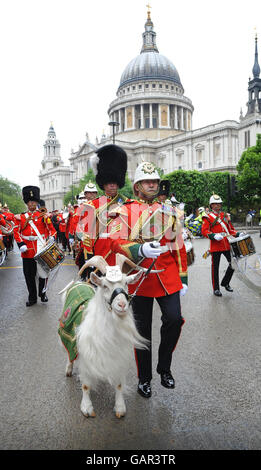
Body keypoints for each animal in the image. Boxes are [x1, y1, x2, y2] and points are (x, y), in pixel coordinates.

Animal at [59, 258, 151, 418]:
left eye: (126, 283)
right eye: (105, 286)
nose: (122, 305)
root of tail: (80, 283)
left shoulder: (118, 358)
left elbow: (119, 384)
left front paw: (120, 407)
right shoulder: (85, 354)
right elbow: (86, 385)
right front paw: (87, 407)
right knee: (69, 354)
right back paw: (69, 369)